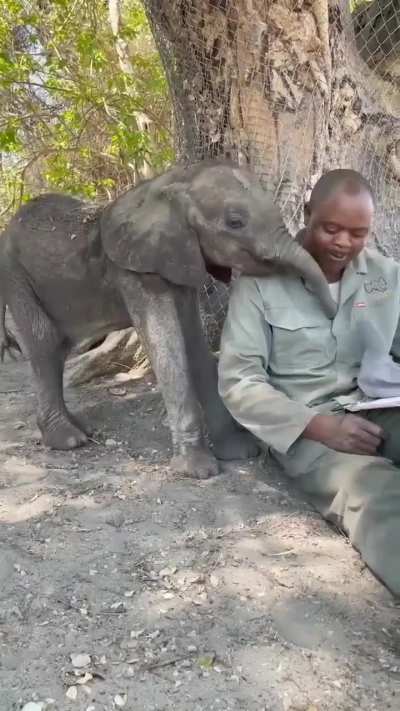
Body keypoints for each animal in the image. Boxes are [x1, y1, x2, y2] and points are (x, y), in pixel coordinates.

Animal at [0, 159, 335, 479]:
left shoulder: (180, 262)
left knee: (58, 348)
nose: (332, 312)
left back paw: (81, 429)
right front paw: (198, 471)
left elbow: (193, 342)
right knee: (44, 342)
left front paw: (239, 452)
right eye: (235, 222)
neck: (171, 184)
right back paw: (69, 441)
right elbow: (168, 347)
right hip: (16, 277)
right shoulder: (135, 272)